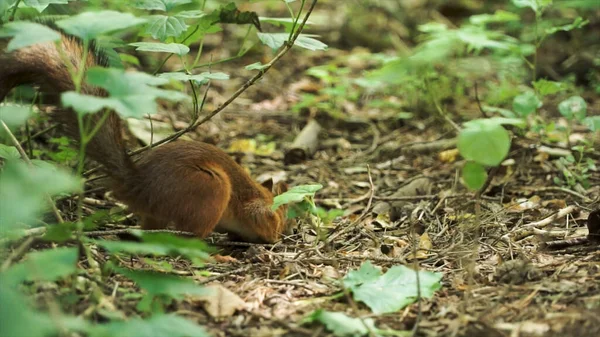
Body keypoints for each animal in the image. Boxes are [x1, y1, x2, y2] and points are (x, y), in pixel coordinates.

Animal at [0, 31, 290, 243]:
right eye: (278, 218)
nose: (278, 236)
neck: (259, 194)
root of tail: (138, 185)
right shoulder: (252, 208)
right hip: (210, 187)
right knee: (192, 238)